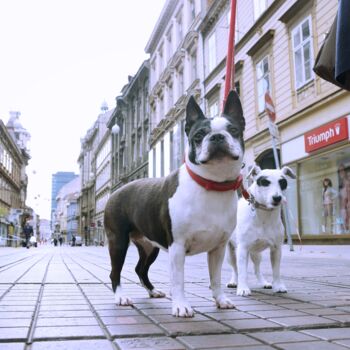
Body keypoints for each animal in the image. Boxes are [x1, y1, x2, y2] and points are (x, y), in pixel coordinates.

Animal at [104, 91, 246, 318]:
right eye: (199, 135)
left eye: (233, 130)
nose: (217, 136)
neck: (212, 184)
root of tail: (116, 191)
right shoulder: (177, 246)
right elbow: (178, 280)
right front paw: (181, 306)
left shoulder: (218, 248)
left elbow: (216, 278)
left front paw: (221, 300)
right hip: (118, 241)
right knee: (115, 271)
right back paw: (121, 297)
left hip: (149, 246)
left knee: (140, 269)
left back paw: (152, 291)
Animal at [227, 165, 296, 296]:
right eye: (265, 182)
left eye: (283, 182)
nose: (277, 198)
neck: (265, 215)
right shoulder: (242, 248)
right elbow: (242, 272)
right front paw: (243, 288)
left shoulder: (276, 249)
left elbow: (276, 271)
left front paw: (278, 286)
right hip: (232, 252)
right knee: (235, 268)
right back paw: (233, 281)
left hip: (256, 254)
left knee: (257, 268)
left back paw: (263, 282)